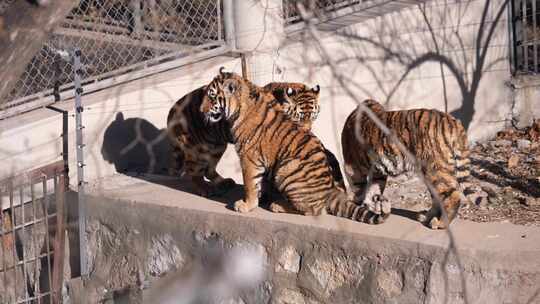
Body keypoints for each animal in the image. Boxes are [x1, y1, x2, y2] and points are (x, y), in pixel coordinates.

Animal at [166, 75, 338, 196]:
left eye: (313, 118)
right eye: (300, 118)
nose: (307, 131)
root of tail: (172, 110)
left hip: (216, 146)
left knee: (208, 169)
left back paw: (224, 183)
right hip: (199, 148)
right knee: (193, 171)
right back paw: (205, 189)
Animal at [200, 67, 386, 223]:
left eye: (212, 96)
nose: (201, 110)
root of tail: (329, 191)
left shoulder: (248, 157)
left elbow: (249, 184)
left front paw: (246, 205)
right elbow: (259, 183)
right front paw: (259, 197)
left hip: (285, 169)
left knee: (315, 210)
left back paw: (278, 205)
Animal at [342, 98, 486, 229]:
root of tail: (453, 121)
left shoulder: (352, 167)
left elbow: (359, 189)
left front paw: (357, 205)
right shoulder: (377, 172)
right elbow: (374, 189)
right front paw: (372, 206)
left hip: (435, 169)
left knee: (453, 195)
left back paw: (440, 223)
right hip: (428, 171)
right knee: (438, 197)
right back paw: (426, 217)